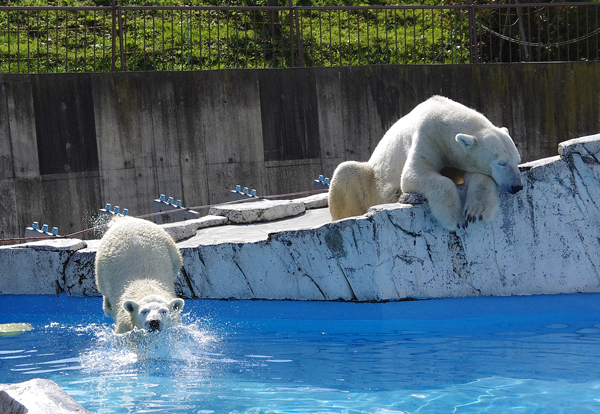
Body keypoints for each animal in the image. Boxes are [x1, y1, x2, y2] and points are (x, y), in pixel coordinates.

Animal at [330, 96, 524, 230]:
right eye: (501, 163)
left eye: (517, 161)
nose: (517, 186)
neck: (443, 114)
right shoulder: (426, 135)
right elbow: (414, 174)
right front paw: (455, 219)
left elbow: (477, 175)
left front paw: (475, 212)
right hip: (370, 184)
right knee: (346, 172)